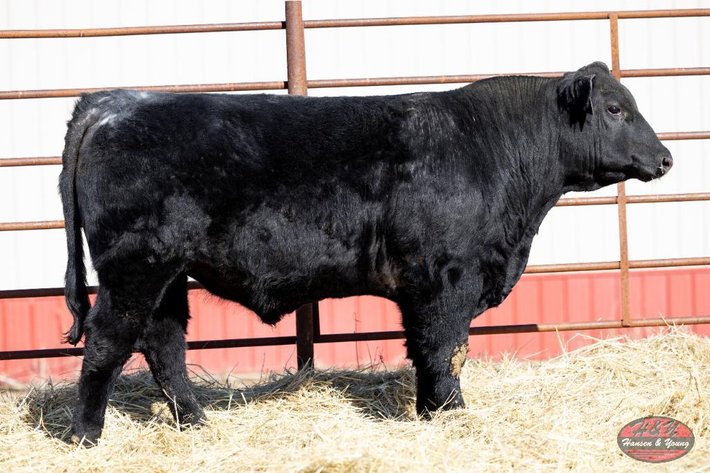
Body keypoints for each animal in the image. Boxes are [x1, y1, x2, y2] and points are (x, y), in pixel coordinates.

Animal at [60, 62, 672, 443]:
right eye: (615, 109)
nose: (665, 157)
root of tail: (115, 103)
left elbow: (426, 352)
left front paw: (430, 412)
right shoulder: (447, 280)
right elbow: (446, 350)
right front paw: (449, 415)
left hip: (168, 274)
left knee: (164, 344)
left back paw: (196, 423)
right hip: (136, 267)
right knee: (109, 340)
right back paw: (86, 436)